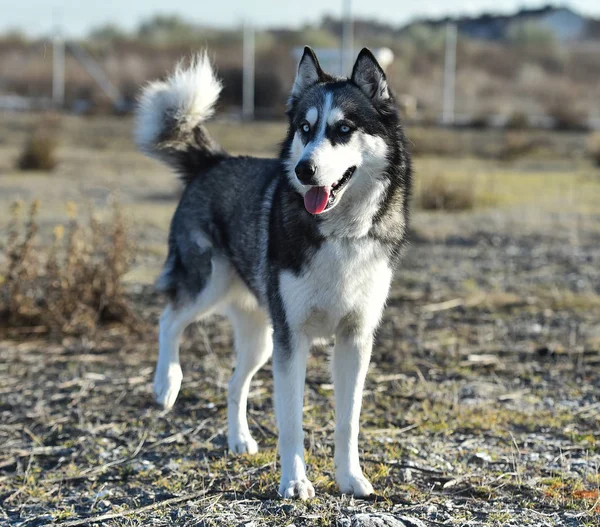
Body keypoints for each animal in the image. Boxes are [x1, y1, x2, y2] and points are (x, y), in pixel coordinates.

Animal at [134, 47, 410, 502]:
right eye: (305, 128)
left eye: (344, 129)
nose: (303, 170)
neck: (341, 233)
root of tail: (215, 162)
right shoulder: (292, 339)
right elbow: (291, 421)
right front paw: (295, 481)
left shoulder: (355, 339)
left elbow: (348, 420)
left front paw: (350, 478)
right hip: (209, 286)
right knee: (168, 320)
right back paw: (166, 383)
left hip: (262, 337)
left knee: (233, 384)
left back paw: (239, 440)